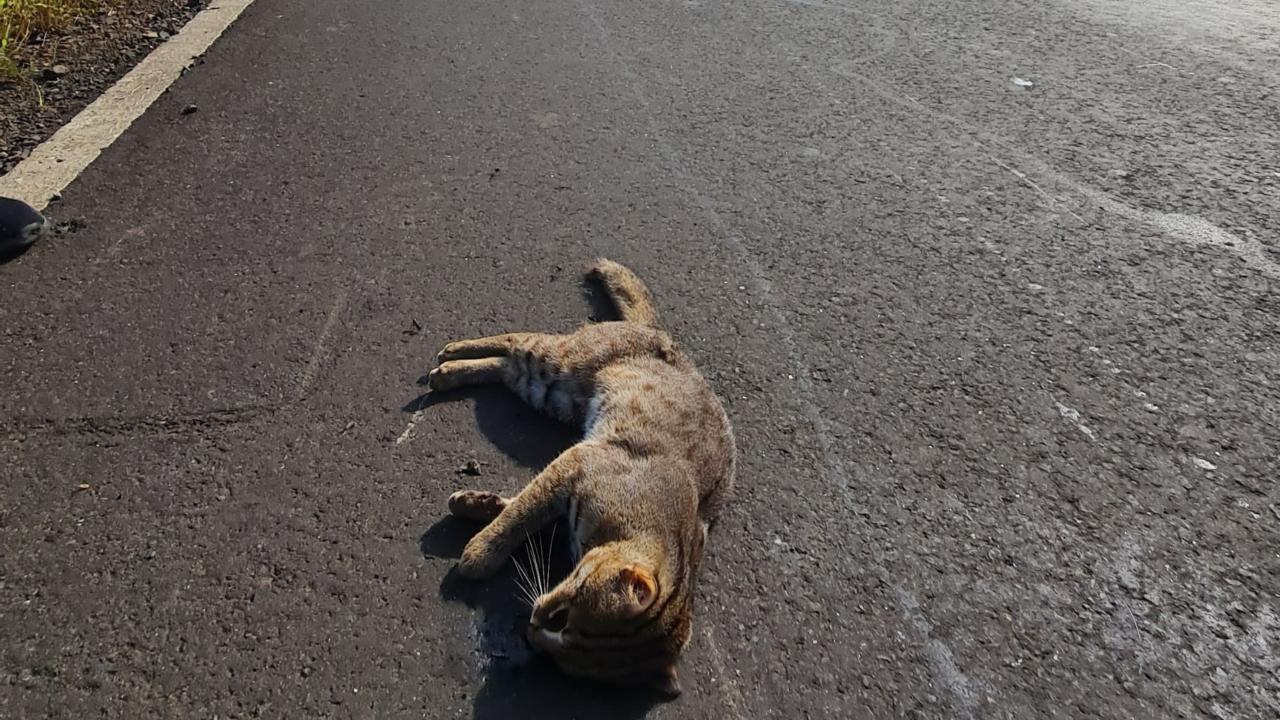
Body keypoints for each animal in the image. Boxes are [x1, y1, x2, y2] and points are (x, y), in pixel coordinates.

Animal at [427, 258, 737, 696]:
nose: (529, 632)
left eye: (561, 659)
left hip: (551, 391)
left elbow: (519, 505)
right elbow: (520, 515)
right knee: (515, 338)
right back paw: (453, 355)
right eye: (562, 618)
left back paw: (453, 370)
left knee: (506, 366)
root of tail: (663, 335)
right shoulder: (580, 460)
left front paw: (478, 506)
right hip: (561, 363)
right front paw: (480, 552)